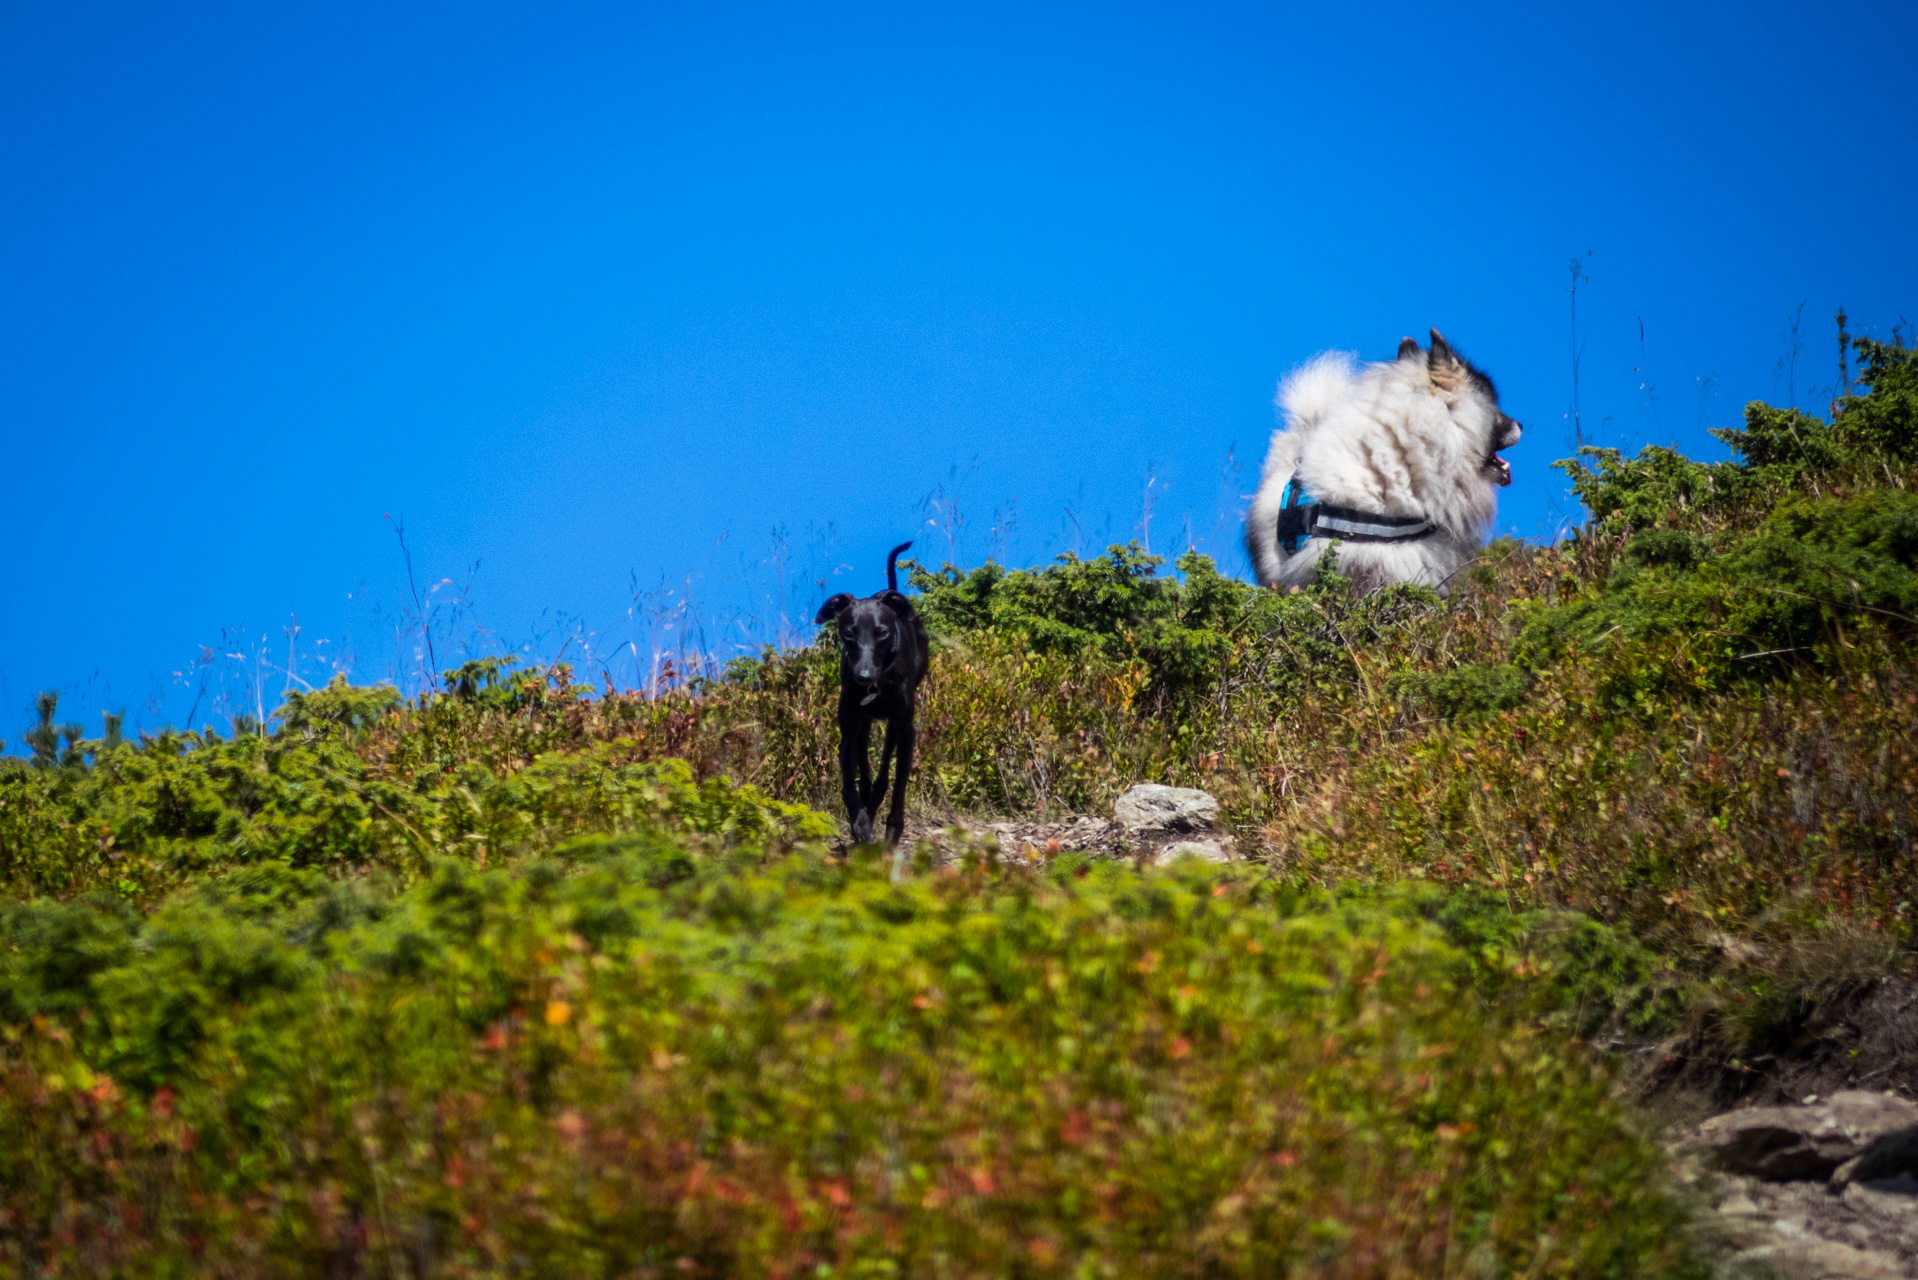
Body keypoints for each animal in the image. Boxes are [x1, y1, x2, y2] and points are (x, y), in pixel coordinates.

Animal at [809, 545, 928, 852]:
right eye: (848, 633)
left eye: (883, 633)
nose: (863, 676)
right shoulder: (848, 729)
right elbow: (848, 783)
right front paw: (860, 824)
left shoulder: (906, 729)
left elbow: (899, 784)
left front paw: (893, 831)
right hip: (863, 724)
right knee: (863, 762)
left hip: (895, 725)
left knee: (885, 766)